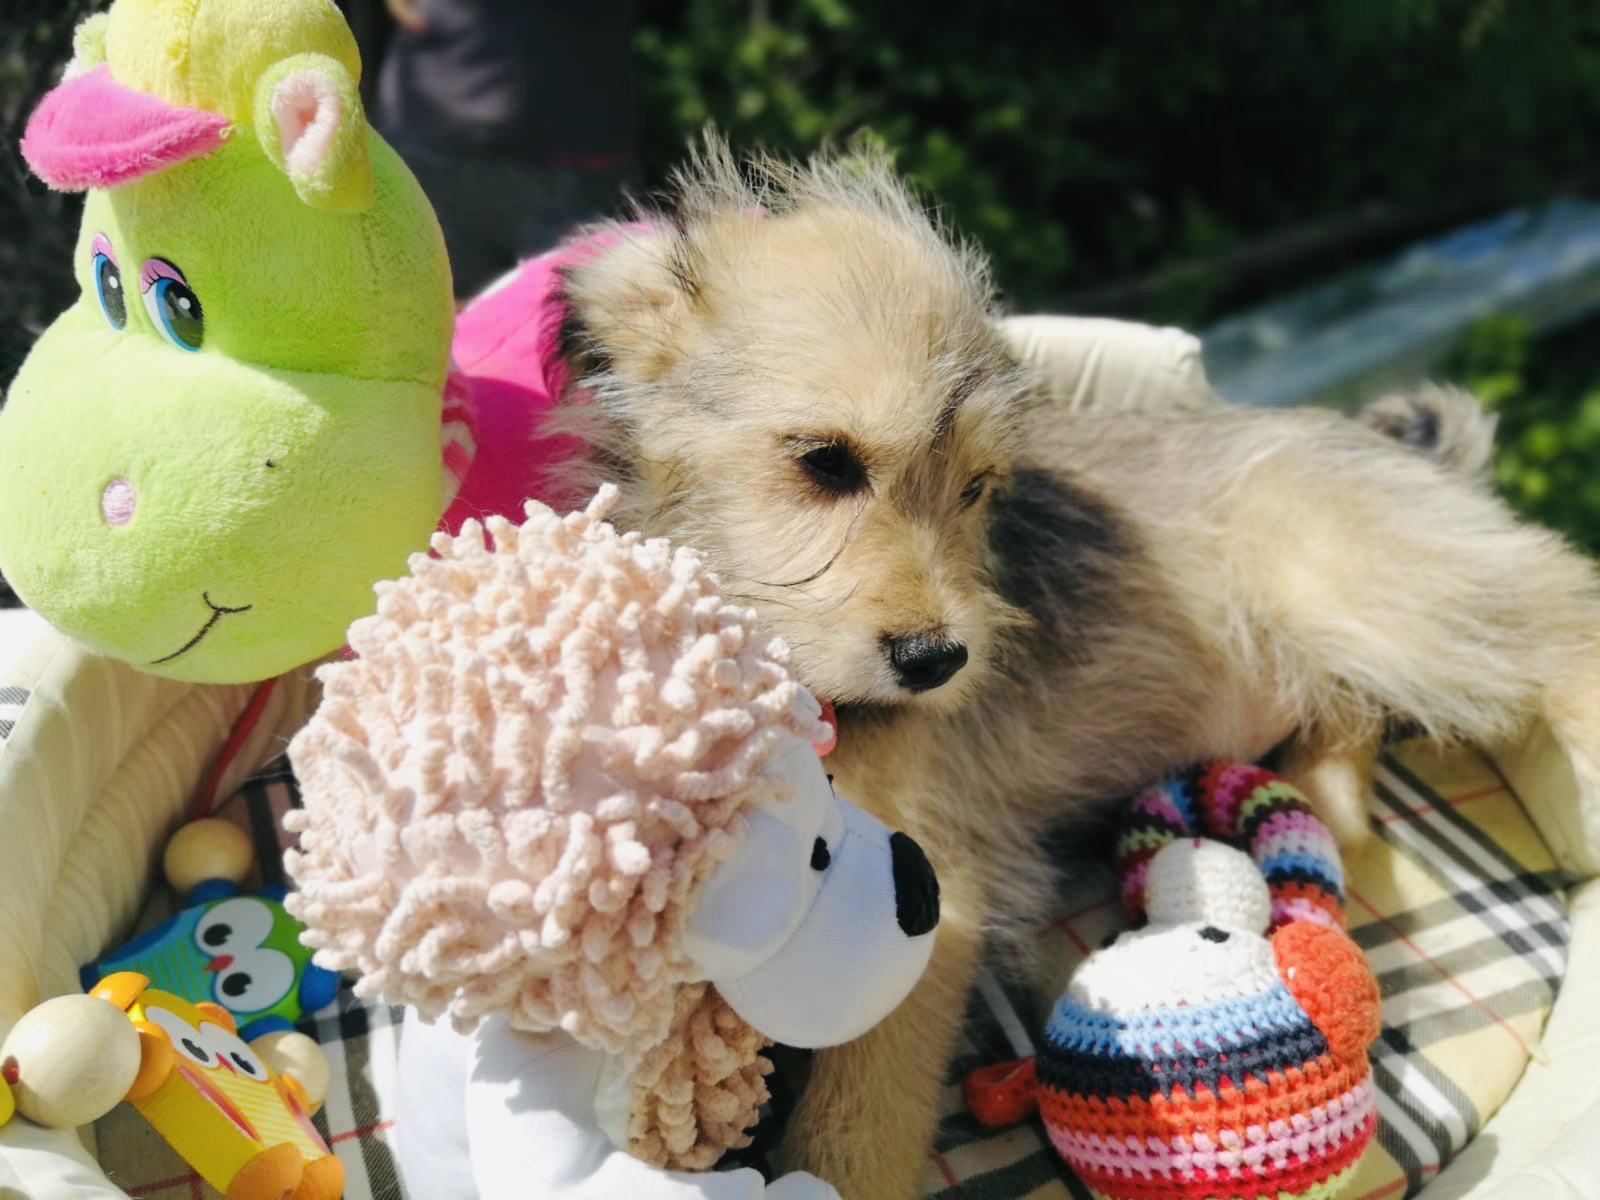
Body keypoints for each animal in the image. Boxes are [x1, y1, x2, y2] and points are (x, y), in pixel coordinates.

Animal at [550, 140, 1600, 1198]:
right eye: (826, 462)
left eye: (977, 489)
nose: (939, 661)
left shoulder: (923, 890)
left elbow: (857, 1130)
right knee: (1353, 720)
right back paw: (1327, 798)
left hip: (1382, 590)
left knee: (1563, 611)